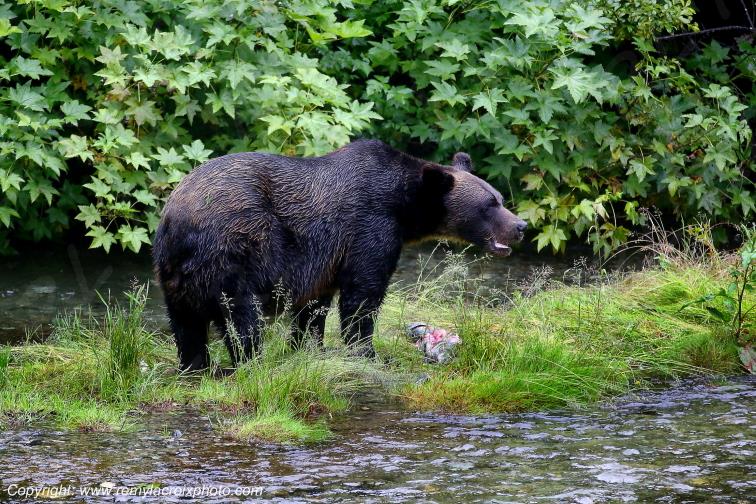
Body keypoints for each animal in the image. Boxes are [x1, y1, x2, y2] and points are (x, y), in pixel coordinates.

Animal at [153, 140, 527, 370]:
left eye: (499, 198)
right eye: (489, 205)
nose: (521, 225)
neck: (404, 208)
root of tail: (175, 219)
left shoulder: (320, 262)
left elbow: (313, 309)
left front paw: (308, 349)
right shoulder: (368, 227)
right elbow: (362, 295)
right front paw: (369, 353)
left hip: (175, 276)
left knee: (186, 325)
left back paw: (195, 365)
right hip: (234, 250)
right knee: (241, 317)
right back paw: (252, 362)